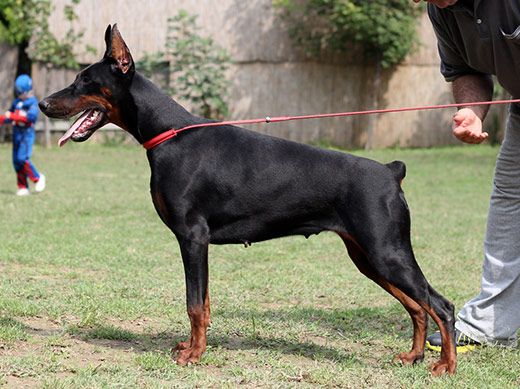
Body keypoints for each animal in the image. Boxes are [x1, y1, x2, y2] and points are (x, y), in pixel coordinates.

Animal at [38, 25, 458, 376]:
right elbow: (204, 303)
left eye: (85, 80)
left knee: (441, 305)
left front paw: (194, 355)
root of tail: (391, 170)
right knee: (417, 306)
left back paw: (445, 366)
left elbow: (194, 303)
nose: (42, 104)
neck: (169, 133)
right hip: (368, 256)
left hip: (386, 251)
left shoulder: (192, 237)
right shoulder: (199, 242)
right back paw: (412, 356)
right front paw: (191, 347)